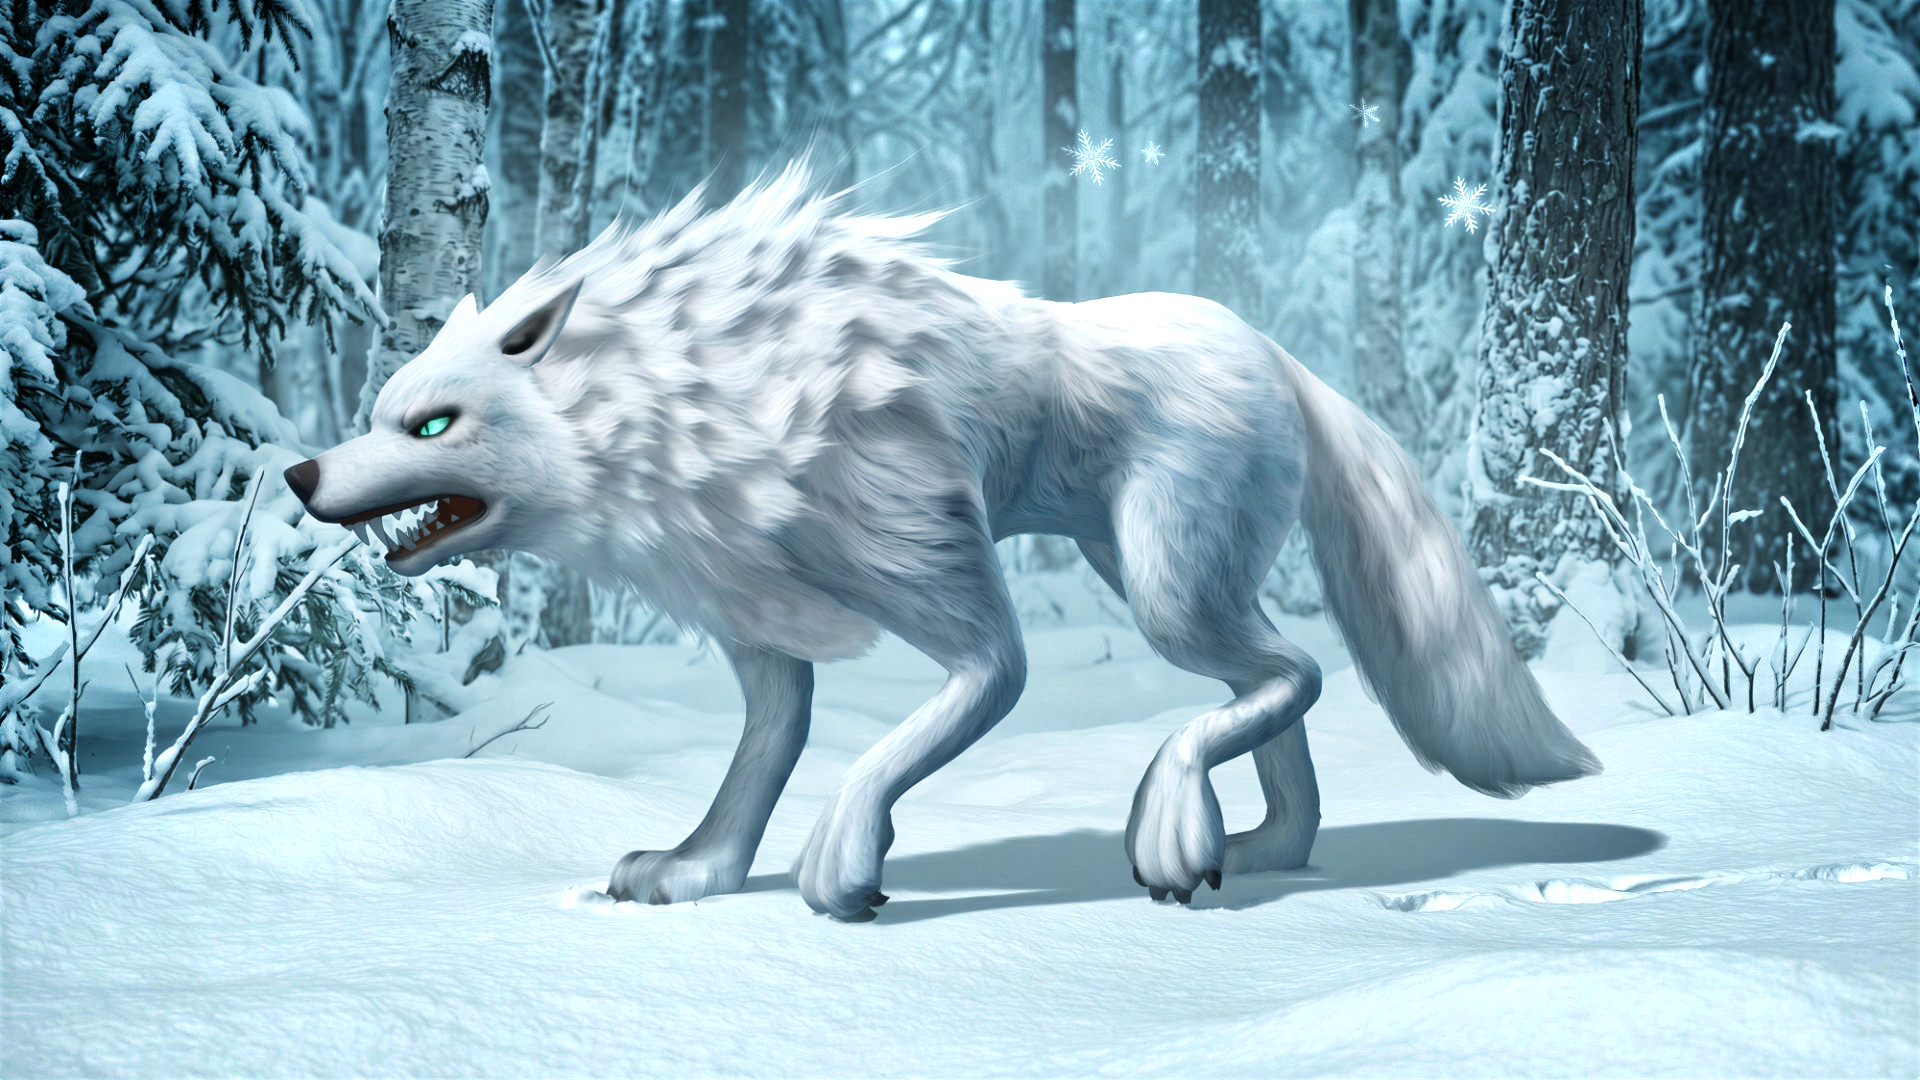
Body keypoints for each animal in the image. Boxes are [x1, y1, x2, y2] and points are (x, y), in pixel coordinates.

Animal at [284, 166, 1601, 921]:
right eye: (383, 412)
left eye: (432, 424)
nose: (297, 474)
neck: (692, 405)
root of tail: (1276, 351)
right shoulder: (765, 637)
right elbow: (754, 771)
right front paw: (695, 876)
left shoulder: (945, 596)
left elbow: (937, 719)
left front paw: (844, 865)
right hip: (1167, 583)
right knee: (1283, 681)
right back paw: (1264, 847)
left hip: (1164, 591)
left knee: (1299, 672)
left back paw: (1176, 828)